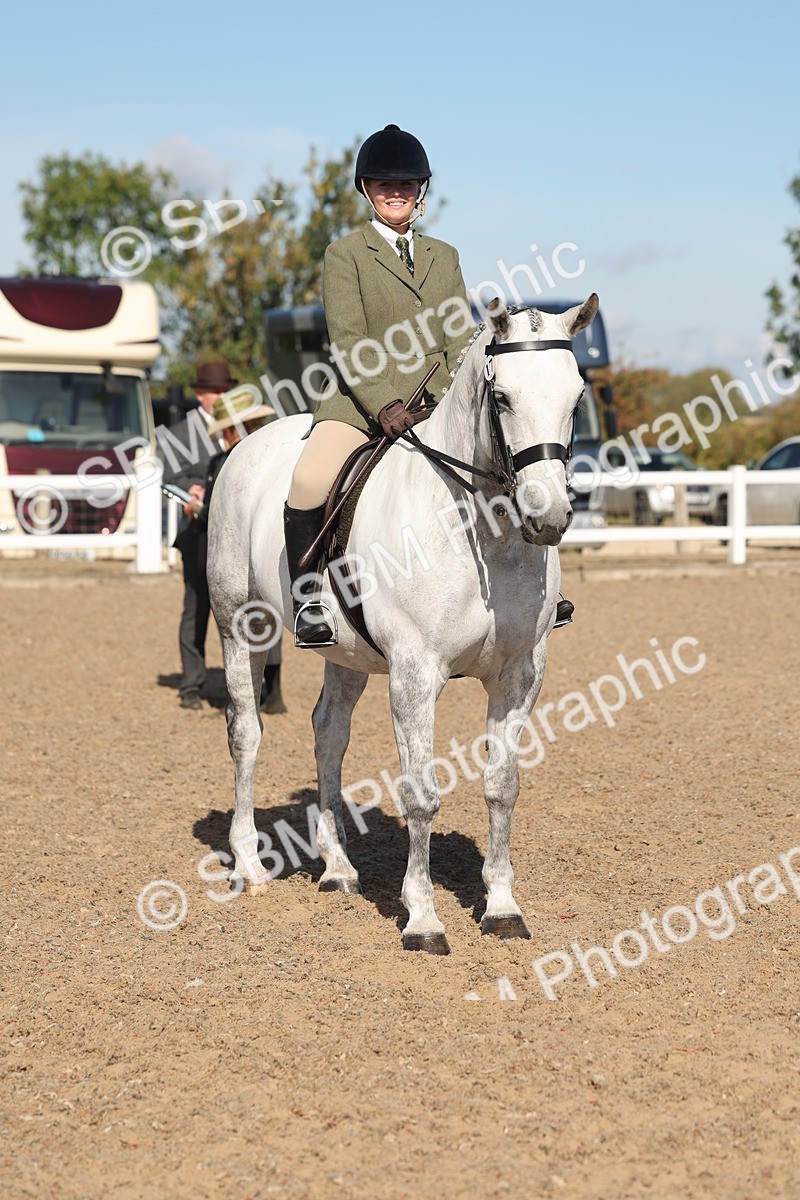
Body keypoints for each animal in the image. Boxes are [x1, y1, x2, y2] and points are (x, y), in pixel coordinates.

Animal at [207, 293, 599, 955]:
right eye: (502, 398)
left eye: (575, 397)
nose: (547, 517)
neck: (482, 534)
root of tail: (246, 445)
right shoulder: (415, 676)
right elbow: (421, 795)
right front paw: (422, 918)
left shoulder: (520, 676)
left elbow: (502, 786)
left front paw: (502, 906)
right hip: (241, 628)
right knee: (246, 734)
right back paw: (250, 867)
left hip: (345, 653)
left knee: (328, 733)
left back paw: (337, 869)